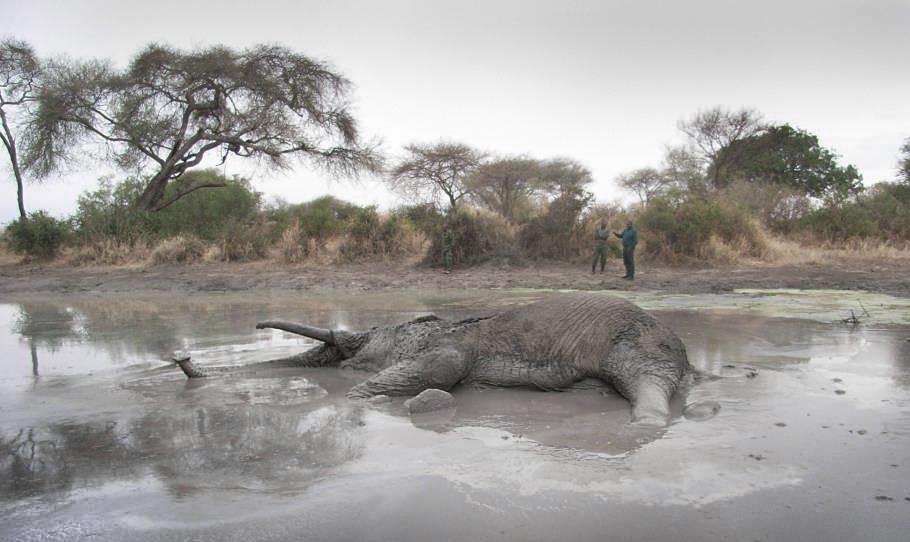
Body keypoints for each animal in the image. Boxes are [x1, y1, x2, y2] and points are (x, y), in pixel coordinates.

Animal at [175, 296, 696, 428]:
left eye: (353, 352)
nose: (182, 355)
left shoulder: (453, 346)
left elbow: (444, 368)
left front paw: (361, 402)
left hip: (641, 342)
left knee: (646, 380)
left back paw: (644, 421)